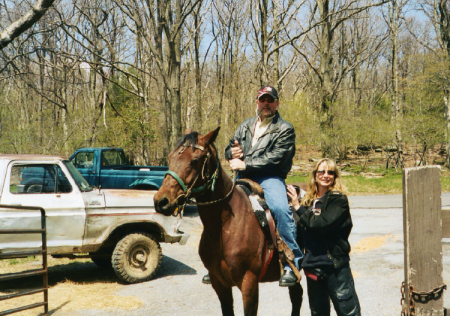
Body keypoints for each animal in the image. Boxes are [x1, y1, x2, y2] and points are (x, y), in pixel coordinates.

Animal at [154, 128, 302, 316]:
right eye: (170, 157)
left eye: (194, 160)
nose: (161, 201)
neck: (224, 227)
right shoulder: (219, 284)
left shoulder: (249, 284)